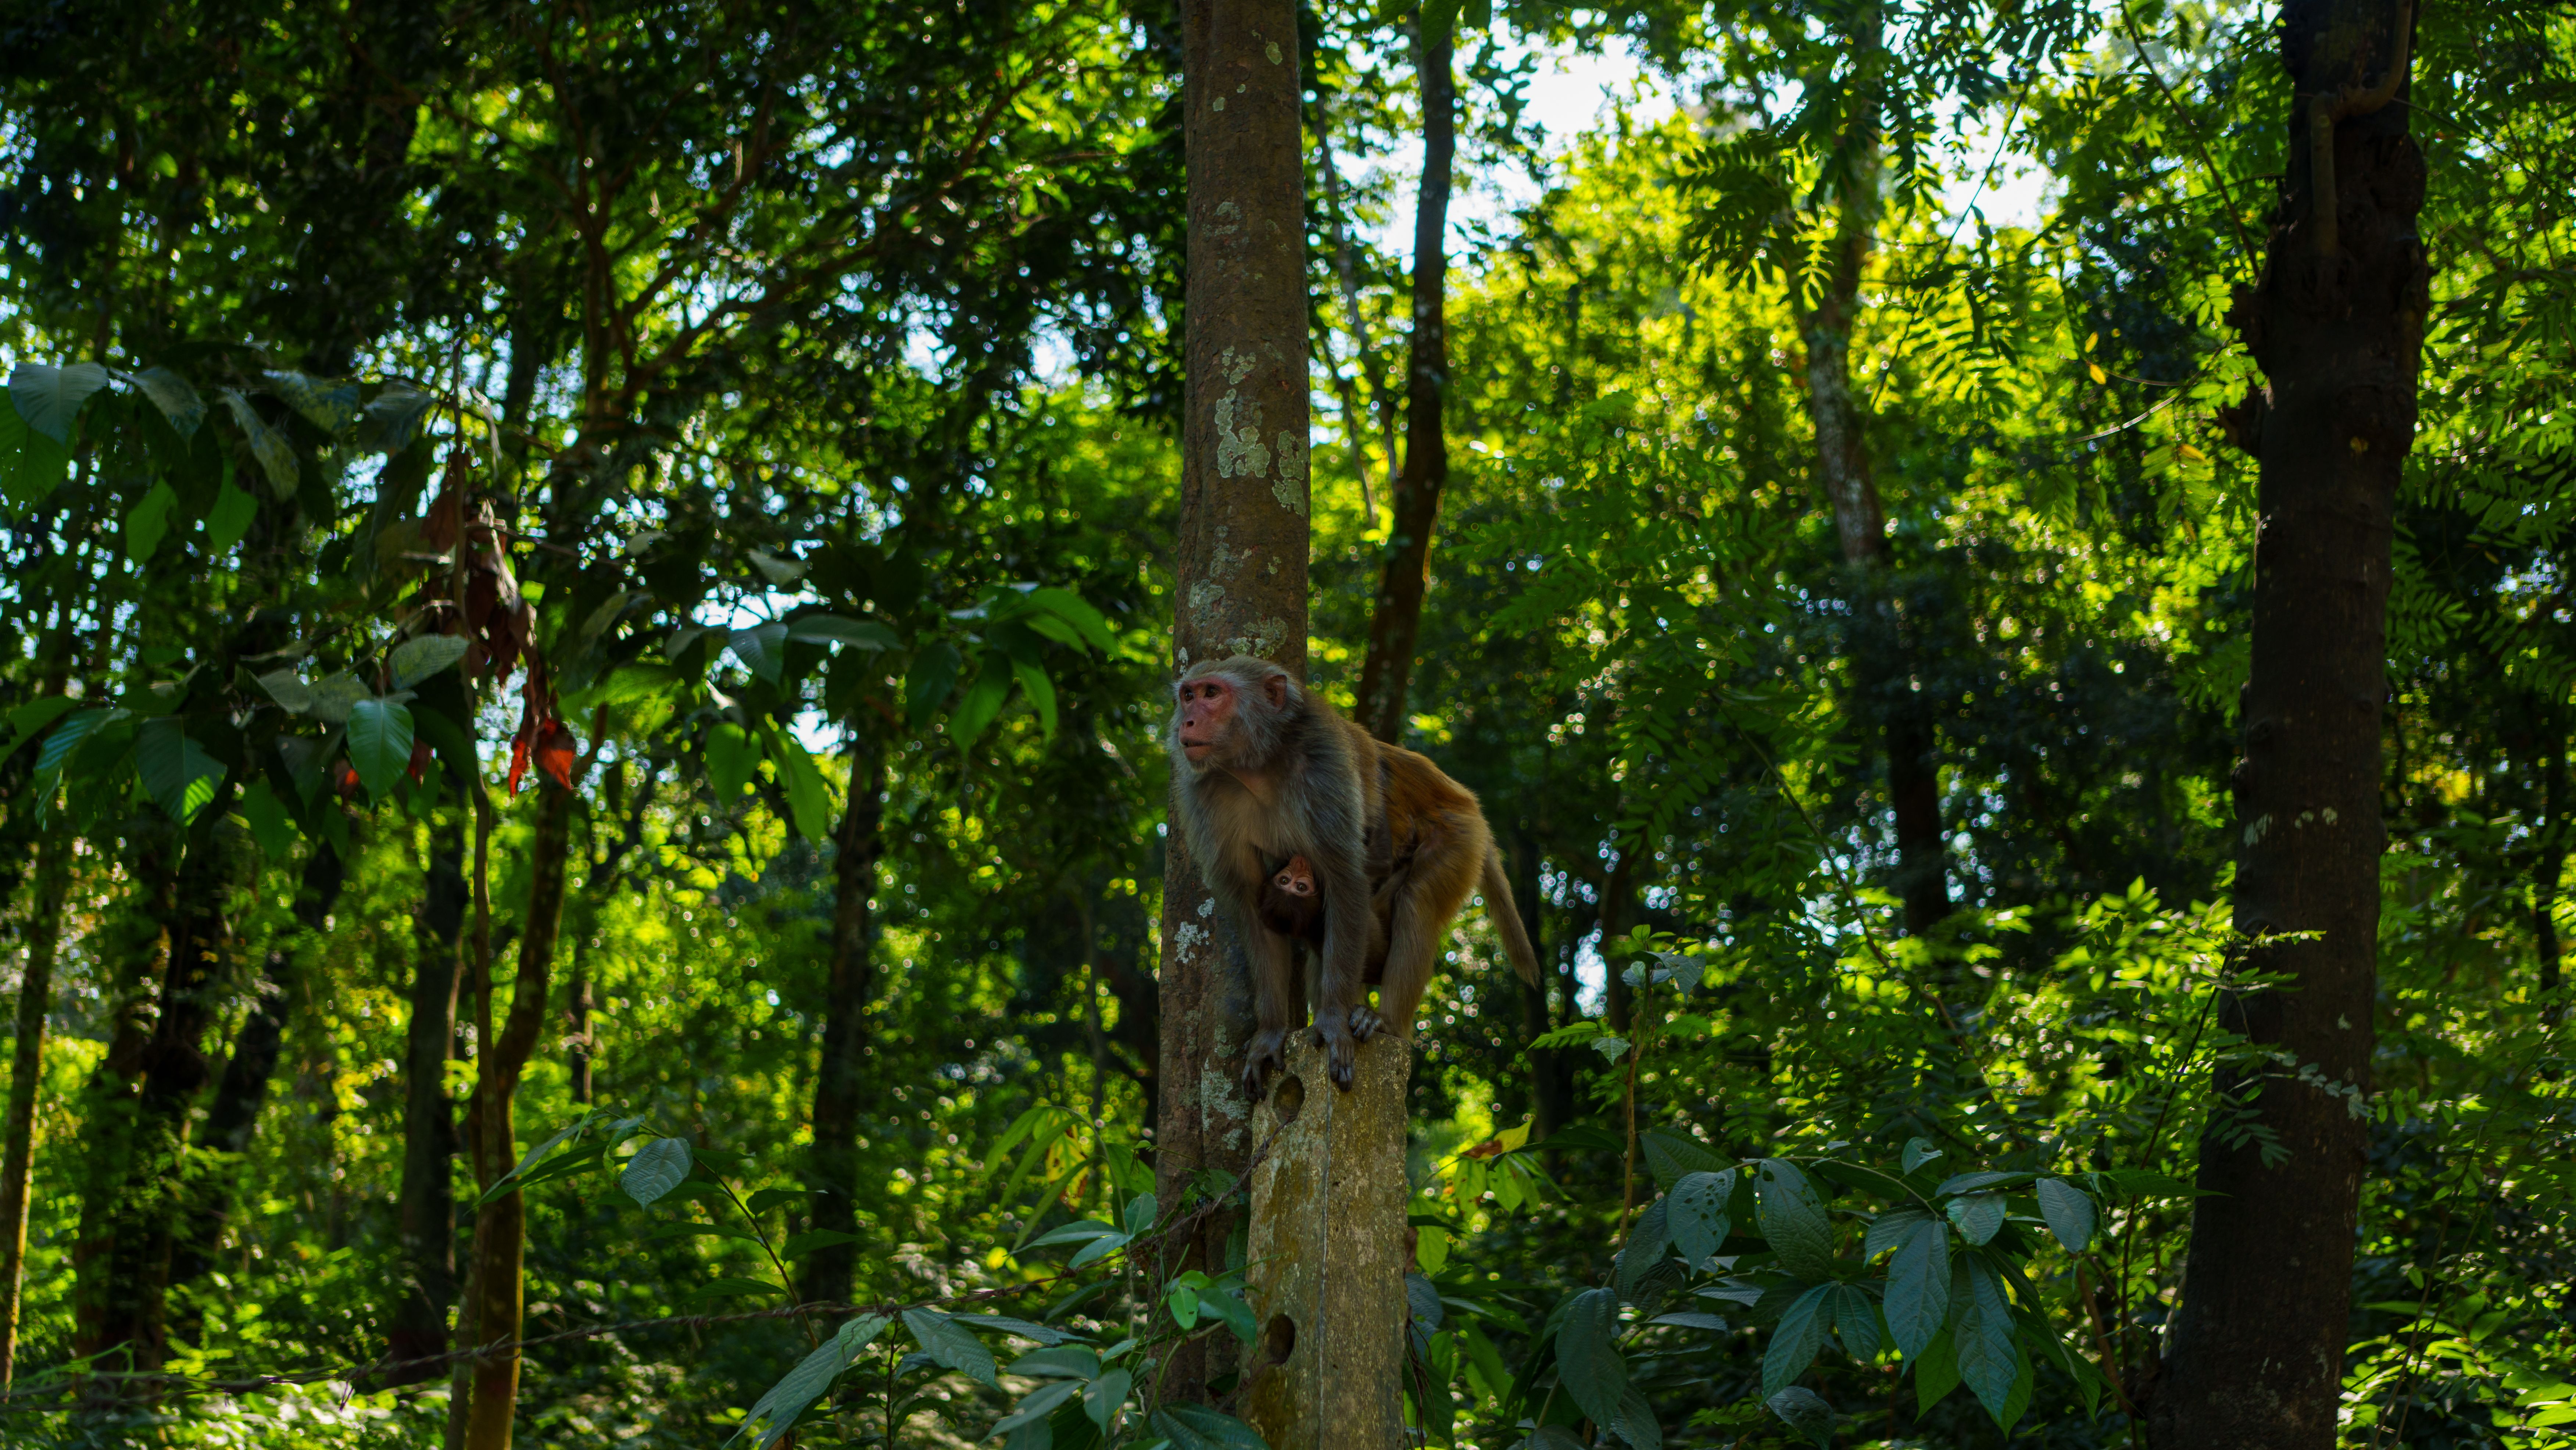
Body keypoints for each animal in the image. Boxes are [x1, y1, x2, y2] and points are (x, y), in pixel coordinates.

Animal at [1166, 654, 1541, 1096]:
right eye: (1188, 696)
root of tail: (1469, 804)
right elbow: (1253, 907)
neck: (1259, 766)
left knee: (1416, 899)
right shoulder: (1203, 795)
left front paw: (1331, 1021)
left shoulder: (1325, 764)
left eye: (1211, 693)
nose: (1188, 722)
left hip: (1460, 835)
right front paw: (1272, 1031)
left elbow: (1346, 878)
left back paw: (1387, 1021)